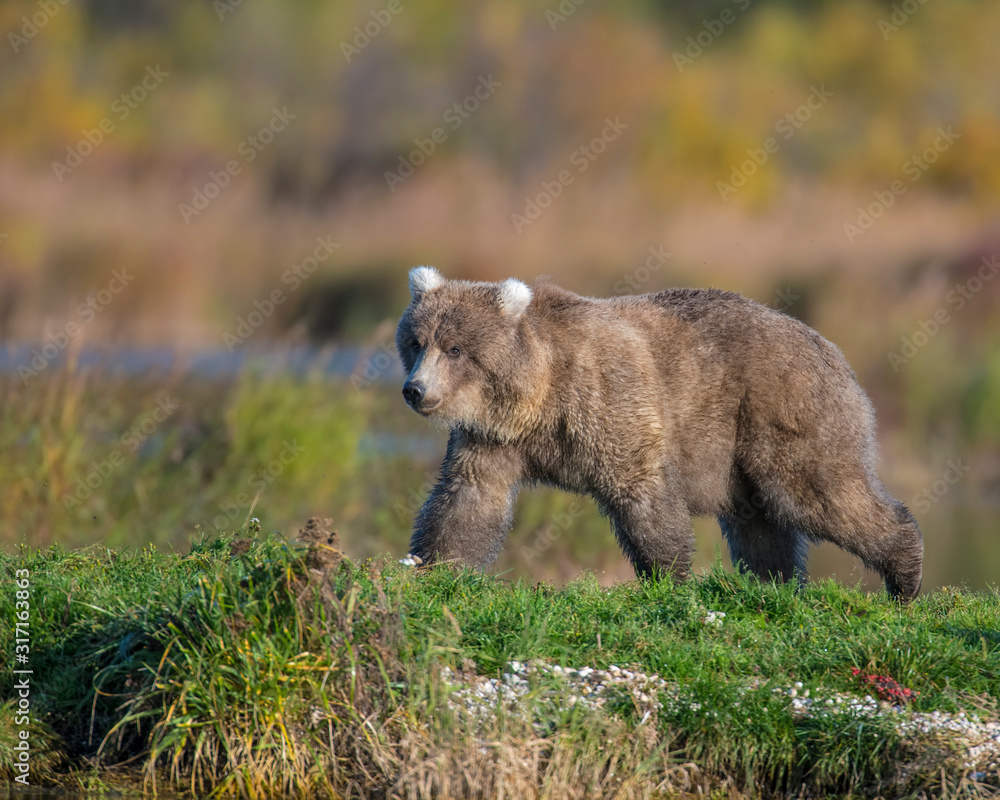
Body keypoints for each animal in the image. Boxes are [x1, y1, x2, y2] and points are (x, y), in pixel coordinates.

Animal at [396, 266, 924, 602]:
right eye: (417, 342)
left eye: (456, 347)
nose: (415, 390)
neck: (536, 396)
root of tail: (832, 348)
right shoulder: (493, 438)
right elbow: (468, 500)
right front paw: (430, 569)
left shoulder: (609, 399)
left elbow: (643, 497)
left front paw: (669, 578)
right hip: (741, 453)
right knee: (760, 524)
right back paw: (773, 583)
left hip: (783, 410)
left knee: (819, 492)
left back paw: (905, 576)